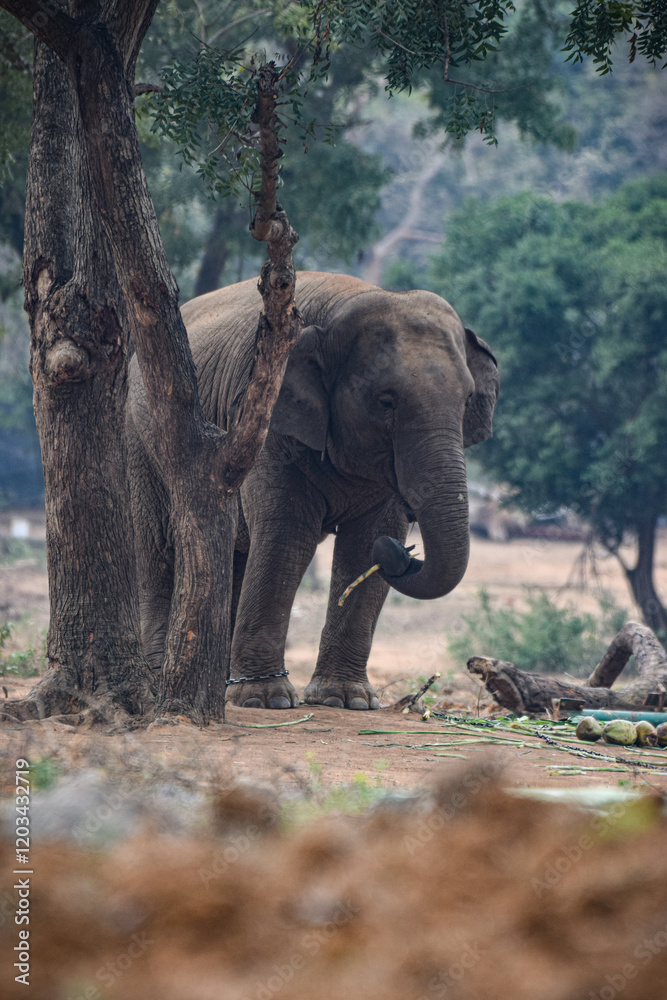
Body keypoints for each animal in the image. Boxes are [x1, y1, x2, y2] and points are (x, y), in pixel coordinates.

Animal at [126, 271, 498, 710]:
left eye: (467, 400)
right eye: (385, 402)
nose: (404, 548)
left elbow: (365, 541)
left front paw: (348, 701)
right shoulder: (265, 419)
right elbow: (289, 534)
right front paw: (265, 700)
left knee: (236, 553)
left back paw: (217, 683)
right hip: (144, 438)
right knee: (160, 546)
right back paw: (161, 679)